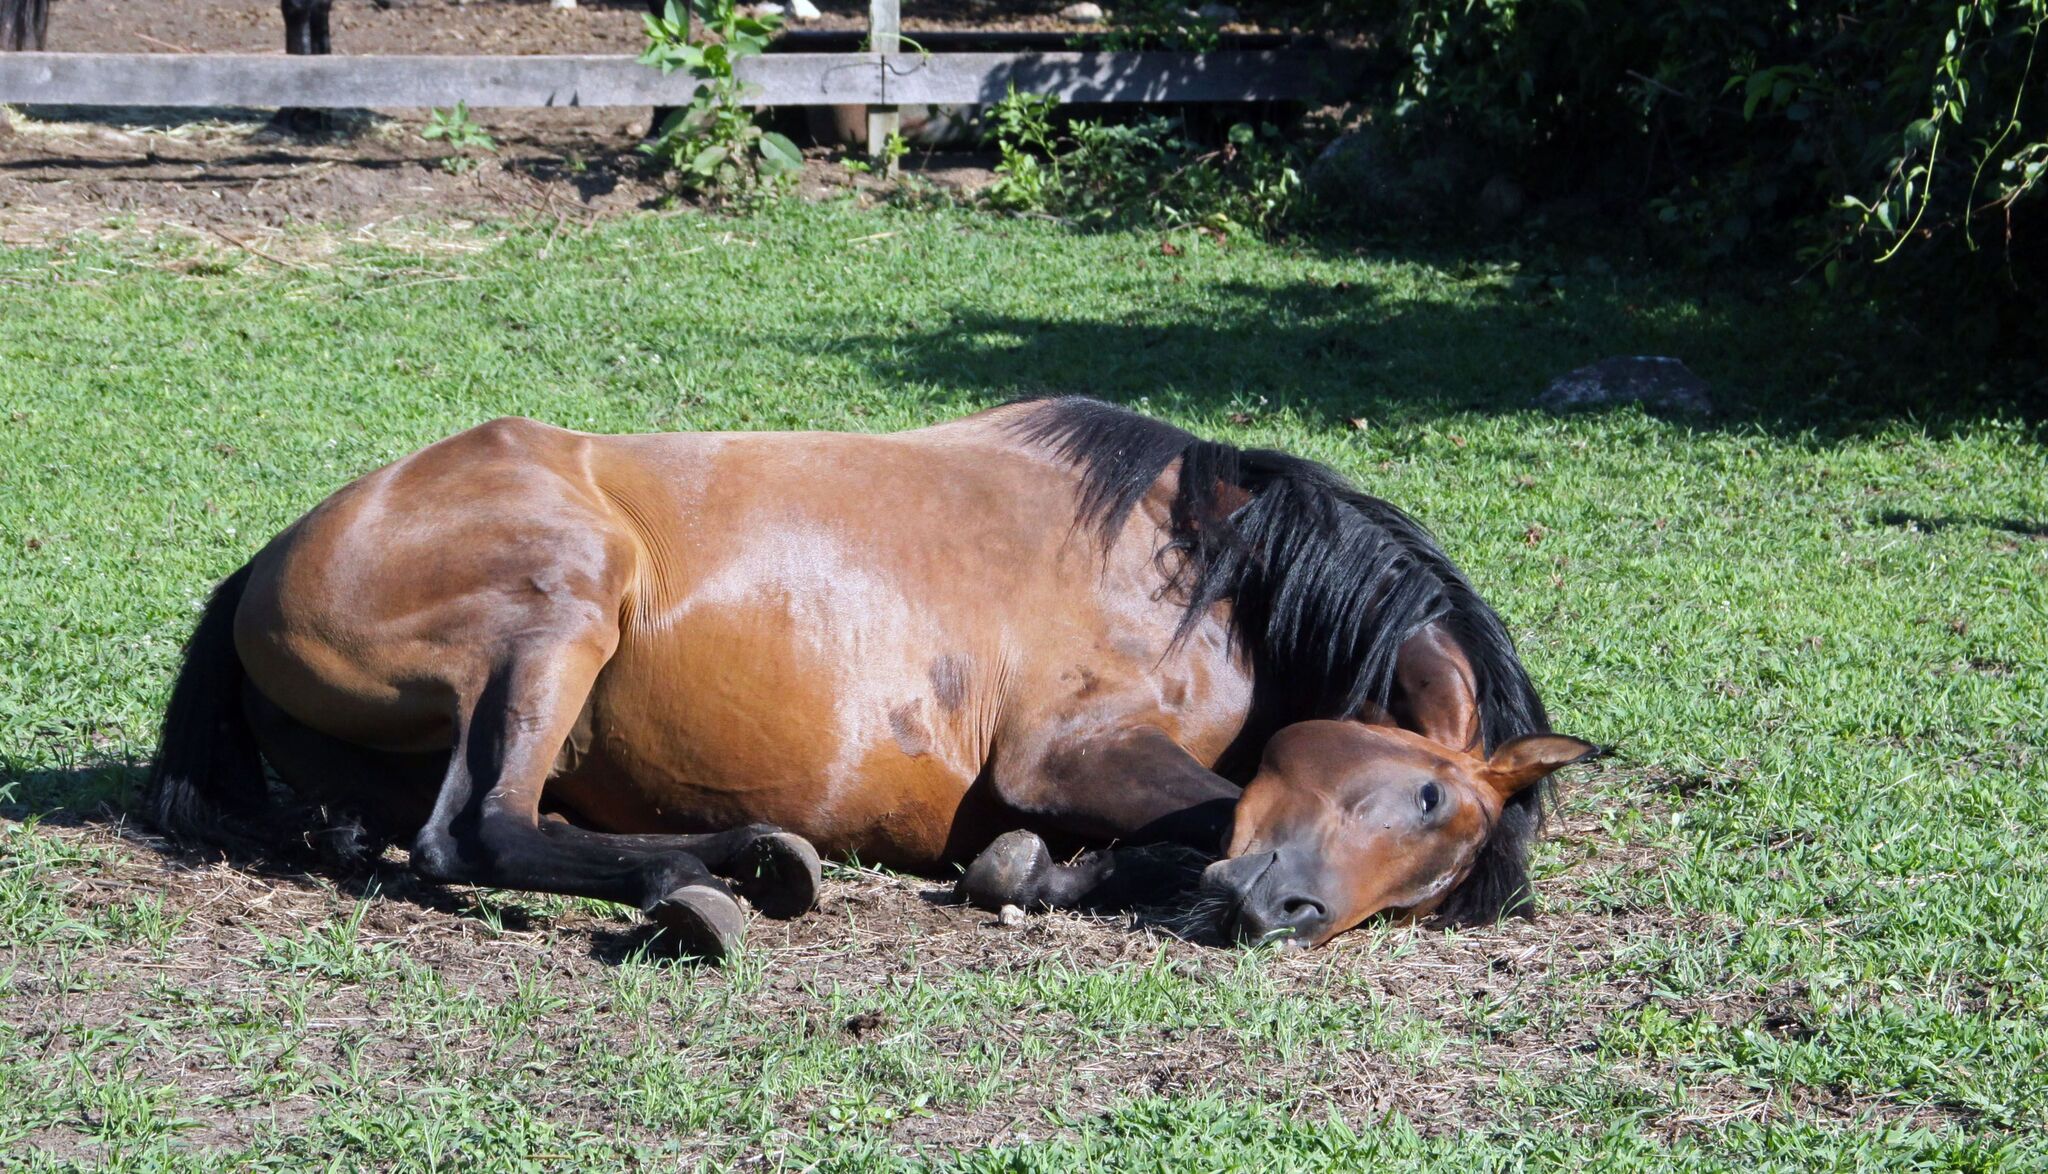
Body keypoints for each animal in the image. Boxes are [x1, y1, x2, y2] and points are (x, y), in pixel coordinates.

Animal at [151, 397, 1605, 954]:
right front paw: (1047, 868)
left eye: (1434, 873)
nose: (1279, 909)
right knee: (479, 830)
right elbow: (1197, 818)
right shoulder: (1064, 752)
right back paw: (720, 879)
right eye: (1427, 796)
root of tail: (269, 556)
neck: (1211, 570)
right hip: (560, 607)